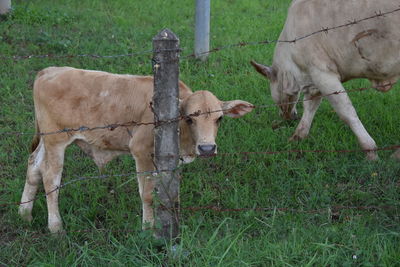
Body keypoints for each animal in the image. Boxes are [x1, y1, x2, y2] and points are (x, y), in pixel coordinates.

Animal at [19, 67, 253, 234]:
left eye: (219, 118)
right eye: (189, 118)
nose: (207, 148)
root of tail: (49, 71)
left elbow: (170, 193)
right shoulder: (140, 150)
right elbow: (147, 195)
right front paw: (148, 229)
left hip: (46, 142)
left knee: (34, 165)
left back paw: (24, 214)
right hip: (56, 141)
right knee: (50, 178)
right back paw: (56, 227)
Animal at [252, 0, 398, 160]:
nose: (284, 116)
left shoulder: (322, 74)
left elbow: (346, 112)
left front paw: (371, 152)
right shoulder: (315, 80)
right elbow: (310, 106)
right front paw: (298, 136)